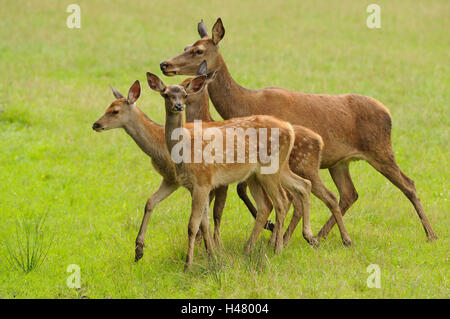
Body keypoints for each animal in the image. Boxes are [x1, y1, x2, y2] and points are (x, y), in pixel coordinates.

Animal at [145, 72, 316, 270]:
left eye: (185, 94)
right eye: (165, 94)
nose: (178, 106)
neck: (185, 150)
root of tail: (289, 128)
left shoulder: (203, 180)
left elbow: (193, 224)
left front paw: (188, 265)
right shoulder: (197, 185)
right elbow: (203, 222)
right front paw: (210, 257)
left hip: (270, 168)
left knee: (281, 200)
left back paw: (277, 248)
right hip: (270, 170)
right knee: (300, 186)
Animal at [185, 61, 352, 246]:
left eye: (188, 84)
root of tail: (319, 140)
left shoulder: (219, 180)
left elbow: (217, 210)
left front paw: (213, 244)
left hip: (303, 168)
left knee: (320, 196)